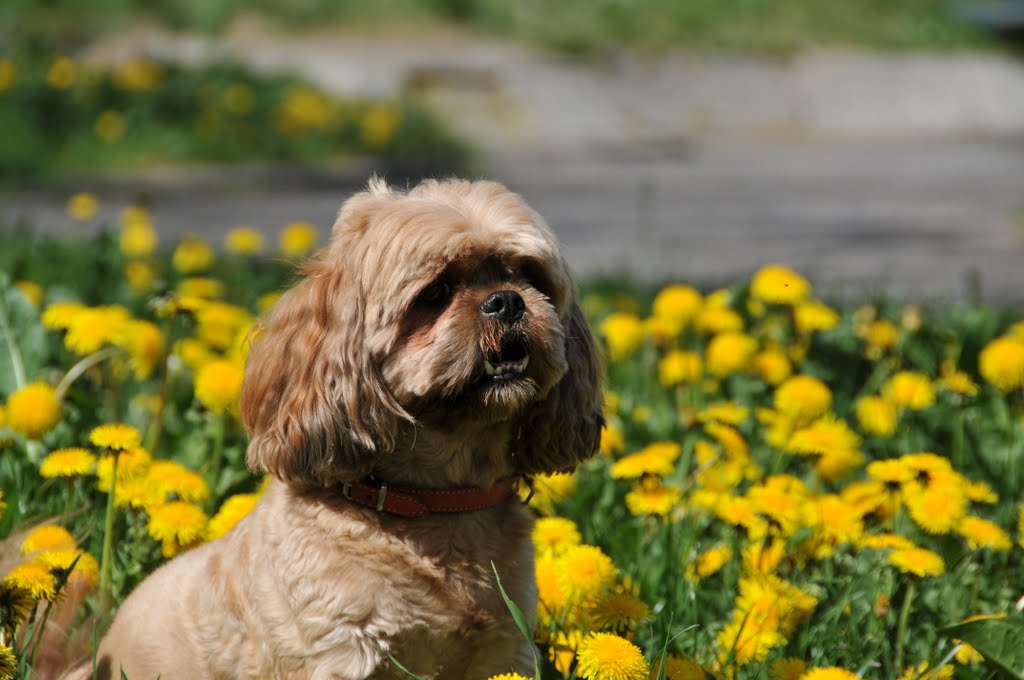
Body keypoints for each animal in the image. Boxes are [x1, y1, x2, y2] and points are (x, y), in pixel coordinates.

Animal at [79, 178, 602, 675]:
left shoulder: (504, 651)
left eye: (528, 276)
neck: (434, 503)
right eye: (435, 293)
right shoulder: (342, 647)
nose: (506, 300)